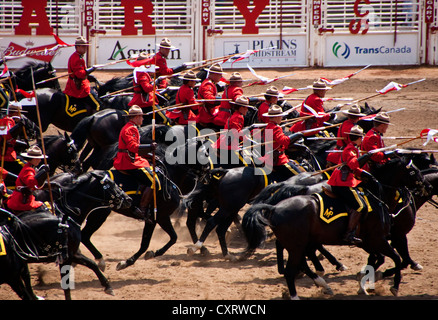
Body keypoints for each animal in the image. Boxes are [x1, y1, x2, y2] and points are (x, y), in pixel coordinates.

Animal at [241, 156, 426, 298]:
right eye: (413, 171)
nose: (425, 186)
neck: (376, 196)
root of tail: (274, 208)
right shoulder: (377, 239)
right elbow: (396, 258)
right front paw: (393, 286)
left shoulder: (369, 242)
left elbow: (378, 260)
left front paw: (363, 283)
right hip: (297, 245)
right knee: (291, 269)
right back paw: (299, 292)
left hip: (299, 244)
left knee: (300, 261)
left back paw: (323, 283)